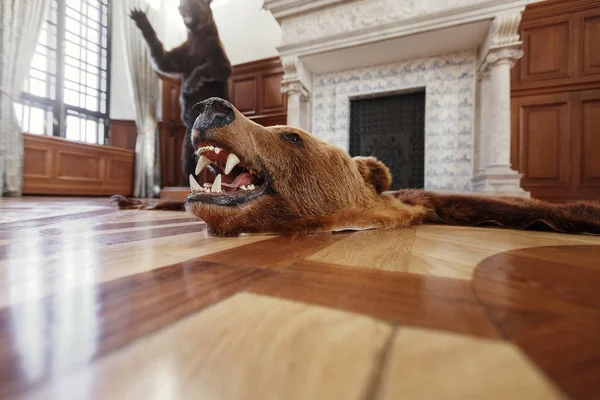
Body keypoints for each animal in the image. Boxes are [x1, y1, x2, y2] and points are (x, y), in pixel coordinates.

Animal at [129, 0, 232, 181]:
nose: (180, 5)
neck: (195, 36)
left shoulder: (216, 54)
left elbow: (210, 68)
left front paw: (191, 83)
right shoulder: (181, 56)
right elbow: (163, 60)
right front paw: (141, 19)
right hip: (188, 141)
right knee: (188, 161)